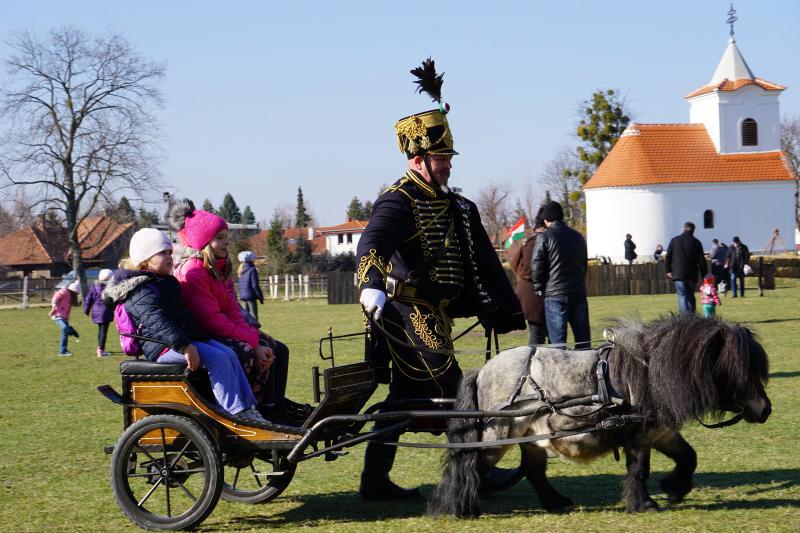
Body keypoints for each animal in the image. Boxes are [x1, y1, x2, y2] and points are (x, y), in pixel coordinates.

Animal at [428, 314, 771, 517]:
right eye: (737, 371)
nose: (765, 409)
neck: (648, 376)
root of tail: (484, 370)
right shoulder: (638, 436)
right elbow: (639, 470)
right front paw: (643, 503)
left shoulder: (661, 432)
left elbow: (689, 457)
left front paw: (675, 488)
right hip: (497, 436)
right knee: (469, 465)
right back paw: (460, 506)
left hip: (532, 438)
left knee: (534, 472)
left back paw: (555, 502)